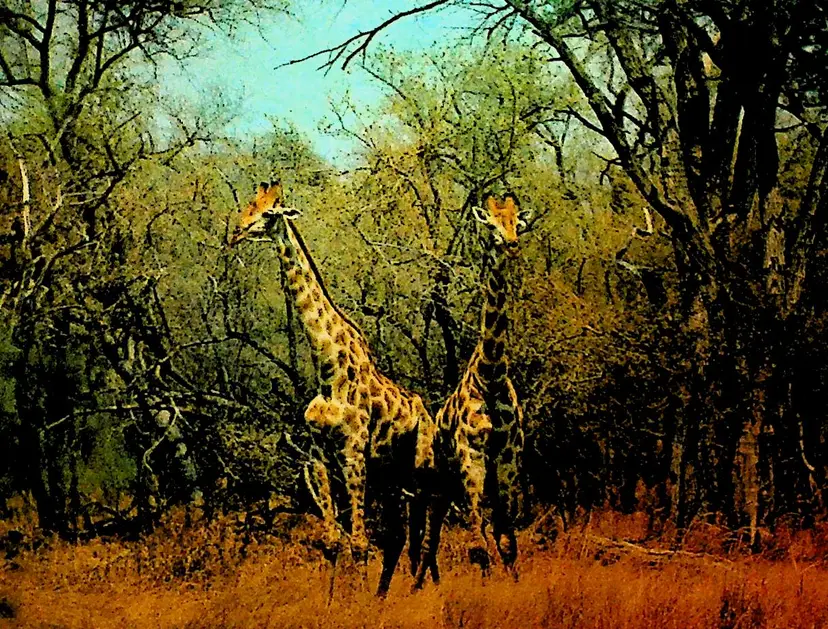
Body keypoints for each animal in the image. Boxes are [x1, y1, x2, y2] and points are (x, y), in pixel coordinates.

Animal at [229, 181, 437, 597]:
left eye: (268, 213)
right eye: (248, 206)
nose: (236, 232)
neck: (328, 370)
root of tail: (427, 411)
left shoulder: (353, 451)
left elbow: (358, 541)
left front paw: (355, 602)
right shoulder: (318, 454)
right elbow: (332, 540)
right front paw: (334, 602)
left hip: (419, 463)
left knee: (420, 527)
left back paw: (415, 591)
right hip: (389, 473)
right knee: (398, 533)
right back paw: (385, 595)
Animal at [413, 193, 529, 588]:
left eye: (517, 224)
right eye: (490, 225)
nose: (510, 243)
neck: (490, 376)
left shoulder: (508, 458)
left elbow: (506, 538)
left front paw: (513, 585)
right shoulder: (471, 456)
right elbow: (478, 540)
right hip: (440, 481)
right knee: (429, 537)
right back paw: (419, 587)